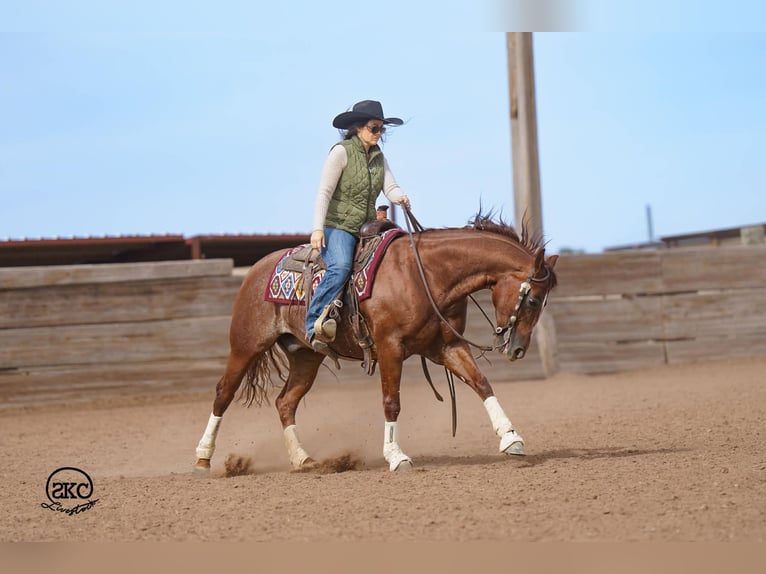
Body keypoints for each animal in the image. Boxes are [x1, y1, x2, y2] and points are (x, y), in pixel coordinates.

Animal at [193, 212, 558, 473]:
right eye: (532, 299)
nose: (517, 350)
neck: (426, 275)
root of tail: (255, 271)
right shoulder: (389, 347)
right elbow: (391, 402)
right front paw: (396, 456)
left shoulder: (447, 347)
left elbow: (482, 384)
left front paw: (512, 439)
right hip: (245, 346)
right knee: (223, 393)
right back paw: (202, 458)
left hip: (306, 357)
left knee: (285, 402)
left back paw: (303, 459)